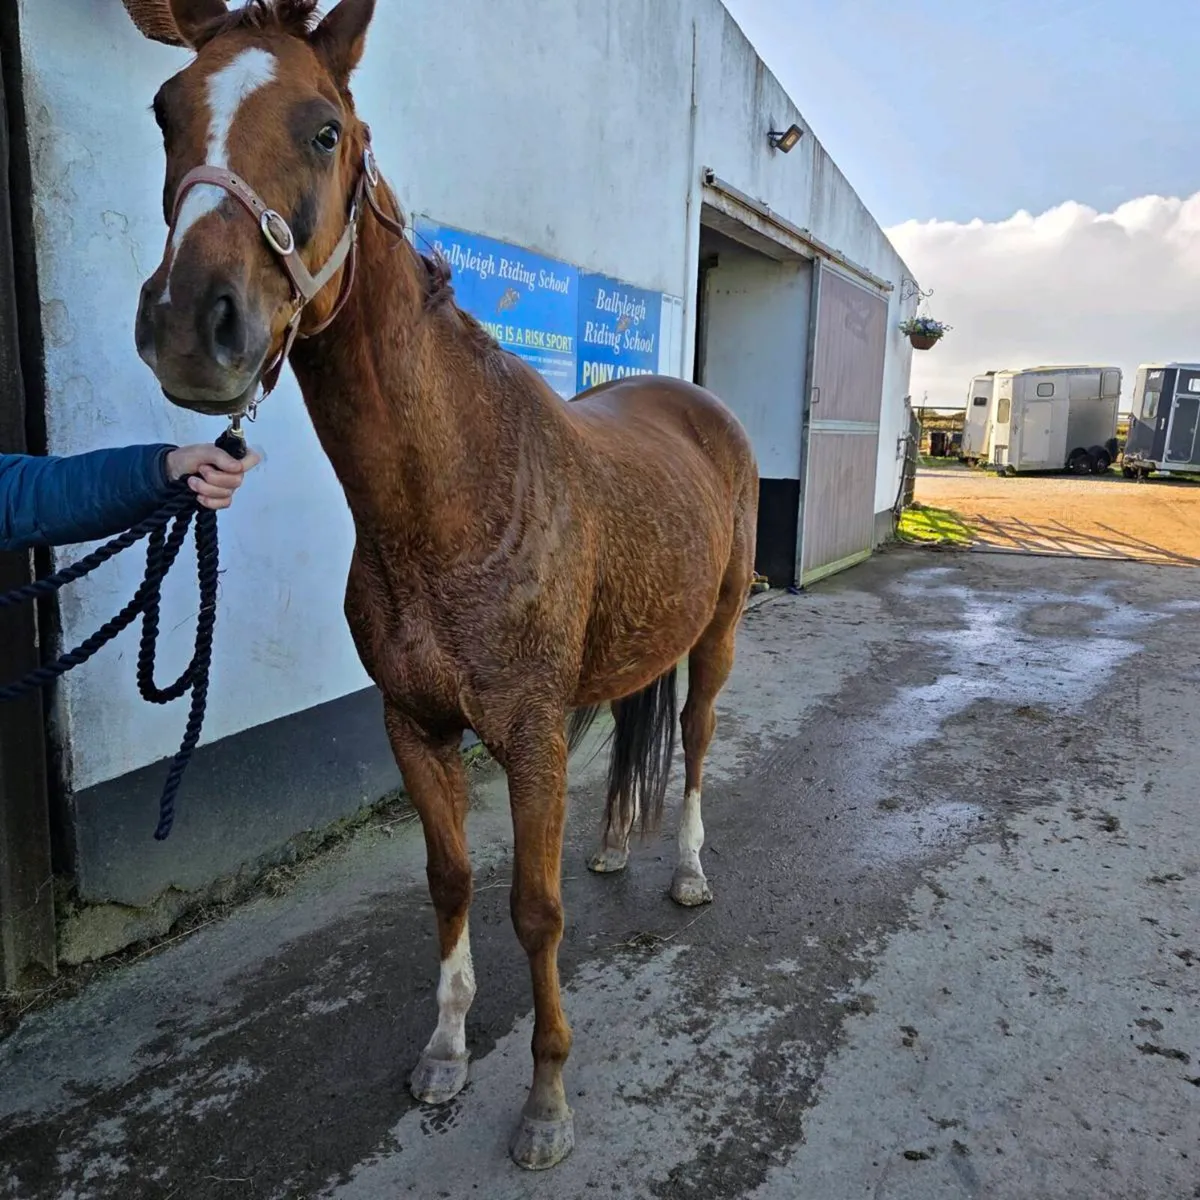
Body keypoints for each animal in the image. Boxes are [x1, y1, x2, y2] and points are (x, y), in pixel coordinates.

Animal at [134, 0, 758, 1169]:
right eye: (165, 113)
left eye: (325, 129)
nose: (195, 322)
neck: (456, 492)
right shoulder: (414, 725)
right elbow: (452, 881)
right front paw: (445, 1053)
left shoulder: (528, 735)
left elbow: (536, 910)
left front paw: (545, 1101)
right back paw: (616, 847)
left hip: (718, 633)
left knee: (695, 741)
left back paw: (690, 873)